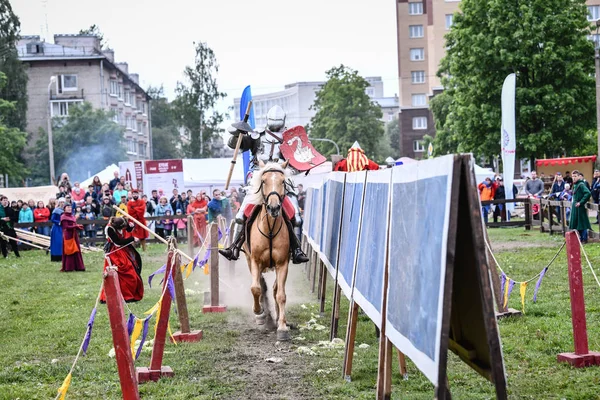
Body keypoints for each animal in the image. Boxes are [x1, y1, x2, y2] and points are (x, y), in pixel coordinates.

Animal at [243, 159, 292, 340]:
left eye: (283, 181)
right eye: (263, 181)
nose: (274, 208)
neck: (270, 228)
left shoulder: (282, 263)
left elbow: (280, 294)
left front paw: (282, 327)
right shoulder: (255, 261)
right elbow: (256, 288)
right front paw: (259, 313)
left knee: (274, 289)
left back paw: (276, 318)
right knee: (260, 286)